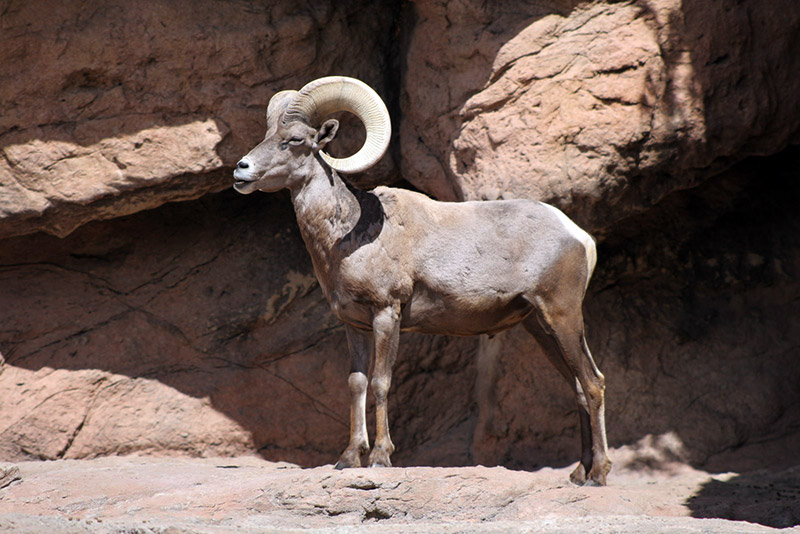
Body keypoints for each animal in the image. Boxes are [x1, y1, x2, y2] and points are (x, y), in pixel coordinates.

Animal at [234, 76, 608, 490]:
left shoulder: (387, 314)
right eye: (267, 134)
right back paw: (579, 473)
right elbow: (356, 384)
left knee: (593, 383)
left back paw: (598, 475)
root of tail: (578, 237)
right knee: (577, 387)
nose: (241, 169)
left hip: (562, 316)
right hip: (540, 327)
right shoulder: (353, 325)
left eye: (295, 139)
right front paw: (348, 459)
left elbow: (380, 382)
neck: (346, 236)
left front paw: (380, 458)